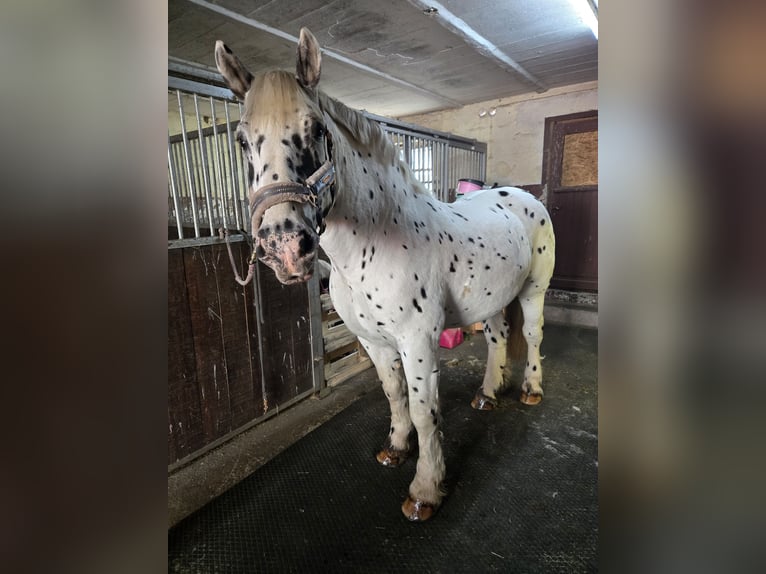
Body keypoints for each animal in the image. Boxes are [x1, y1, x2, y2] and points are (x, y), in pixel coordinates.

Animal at [216, 28, 560, 520]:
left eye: (317, 129)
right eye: (243, 140)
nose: (284, 246)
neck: (375, 243)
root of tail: (523, 197)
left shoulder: (417, 342)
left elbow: (423, 410)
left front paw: (425, 490)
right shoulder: (374, 341)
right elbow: (394, 395)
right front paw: (395, 449)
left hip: (534, 290)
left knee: (531, 336)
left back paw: (531, 389)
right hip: (494, 297)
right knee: (497, 338)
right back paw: (488, 394)